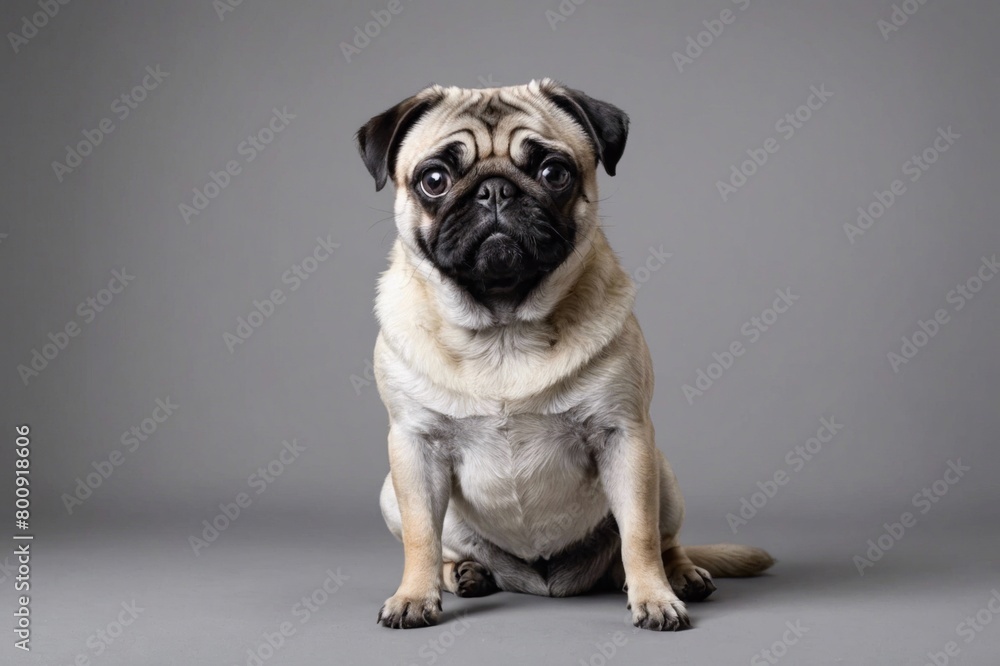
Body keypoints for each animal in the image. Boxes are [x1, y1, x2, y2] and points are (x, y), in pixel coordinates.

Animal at [358, 80, 772, 632]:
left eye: (554, 173)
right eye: (434, 180)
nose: (495, 190)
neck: (503, 329)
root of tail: (544, 581)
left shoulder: (624, 436)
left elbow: (639, 534)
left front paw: (654, 596)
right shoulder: (414, 445)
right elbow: (421, 535)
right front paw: (412, 597)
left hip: (662, 473)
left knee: (662, 541)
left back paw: (678, 576)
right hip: (391, 491)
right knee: (444, 545)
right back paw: (464, 573)